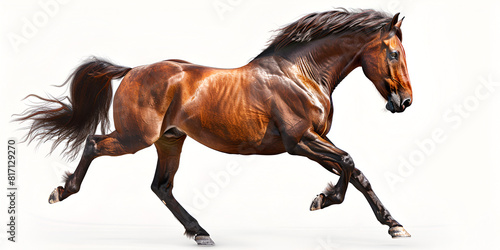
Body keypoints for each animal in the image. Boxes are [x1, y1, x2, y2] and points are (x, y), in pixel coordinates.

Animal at [16, 8, 414, 245]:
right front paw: (323, 199)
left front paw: (395, 225)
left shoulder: (316, 140)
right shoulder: (299, 141)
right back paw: (61, 191)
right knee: (93, 144)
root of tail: (130, 71)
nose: (405, 102)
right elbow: (348, 162)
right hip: (135, 138)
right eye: (394, 53)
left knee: (161, 186)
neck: (300, 74)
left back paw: (200, 232)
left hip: (170, 141)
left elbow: (357, 172)